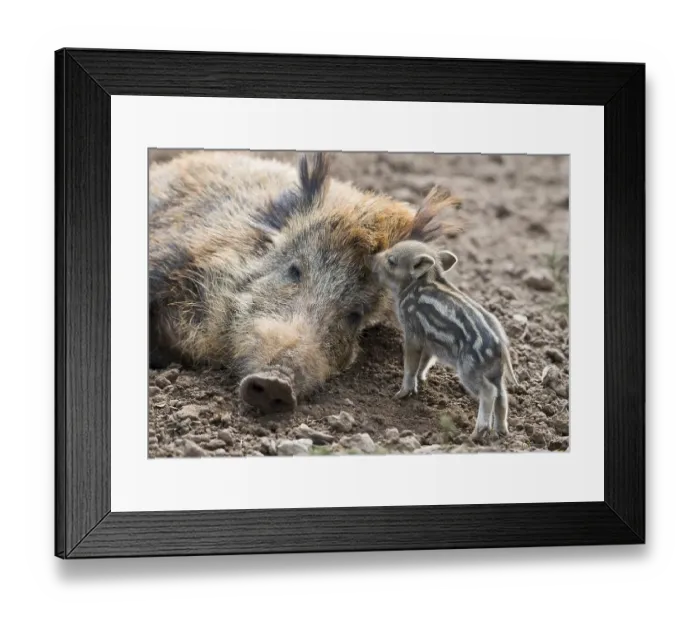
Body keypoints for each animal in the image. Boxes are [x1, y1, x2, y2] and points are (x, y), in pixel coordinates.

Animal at [372, 239, 517, 442]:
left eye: (391, 260)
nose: (371, 259)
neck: (416, 285)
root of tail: (501, 345)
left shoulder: (413, 333)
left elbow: (410, 365)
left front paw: (401, 394)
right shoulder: (429, 343)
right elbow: (424, 362)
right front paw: (420, 381)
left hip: (469, 370)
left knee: (489, 393)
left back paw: (475, 434)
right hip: (495, 373)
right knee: (502, 396)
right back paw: (501, 431)